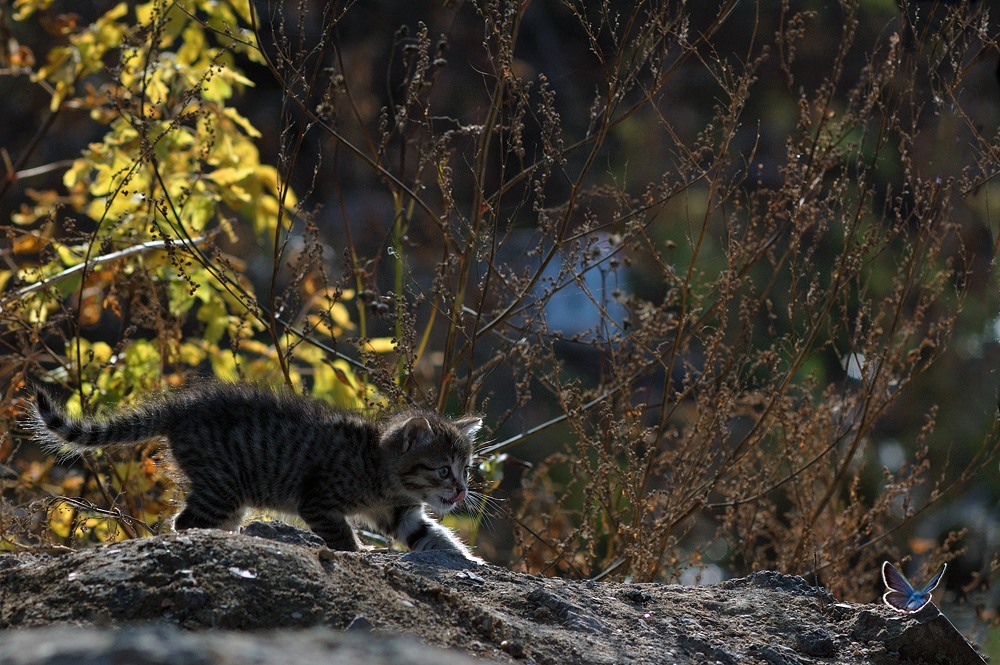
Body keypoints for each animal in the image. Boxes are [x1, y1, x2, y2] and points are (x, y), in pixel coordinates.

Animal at [25, 382, 486, 564]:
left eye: (466, 469)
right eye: (443, 470)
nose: (462, 492)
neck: (380, 469)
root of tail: (181, 408)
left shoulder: (402, 513)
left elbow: (433, 536)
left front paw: (467, 559)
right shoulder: (318, 500)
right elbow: (341, 534)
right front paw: (357, 553)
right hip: (222, 484)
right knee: (184, 521)